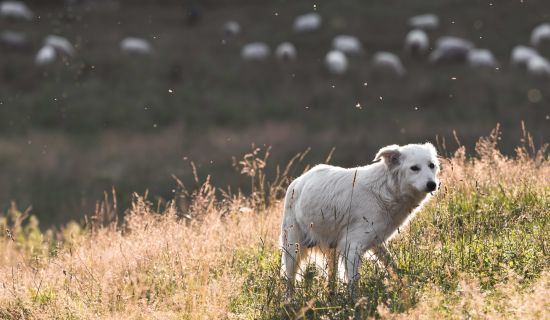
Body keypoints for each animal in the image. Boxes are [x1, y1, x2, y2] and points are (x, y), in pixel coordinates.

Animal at [282, 144, 442, 294]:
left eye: (431, 165)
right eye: (414, 168)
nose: (432, 185)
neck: (386, 189)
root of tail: (298, 181)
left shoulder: (376, 242)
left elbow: (392, 265)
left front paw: (405, 286)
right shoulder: (353, 246)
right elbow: (354, 283)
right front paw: (355, 302)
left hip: (331, 251)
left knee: (331, 278)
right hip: (292, 249)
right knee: (289, 281)